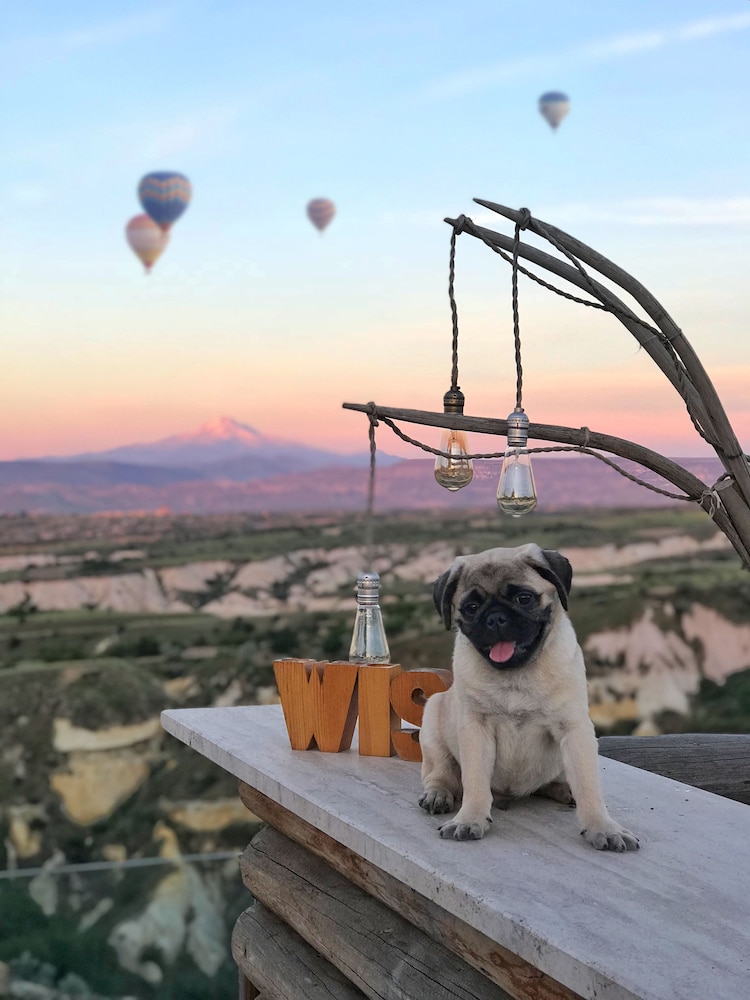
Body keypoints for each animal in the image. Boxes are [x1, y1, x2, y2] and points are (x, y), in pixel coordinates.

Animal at [420, 544, 636, 856]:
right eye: (471, 608)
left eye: (523, 598)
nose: (495, 617)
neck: (516, 675)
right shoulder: (475, 731)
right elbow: (474, 781)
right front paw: (470, 818)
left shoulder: (575, 730)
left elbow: (588, 784)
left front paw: (602, 827)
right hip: (433, 719)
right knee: (442, 773)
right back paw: (438, 794)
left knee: (554, 781)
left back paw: (565, 790)